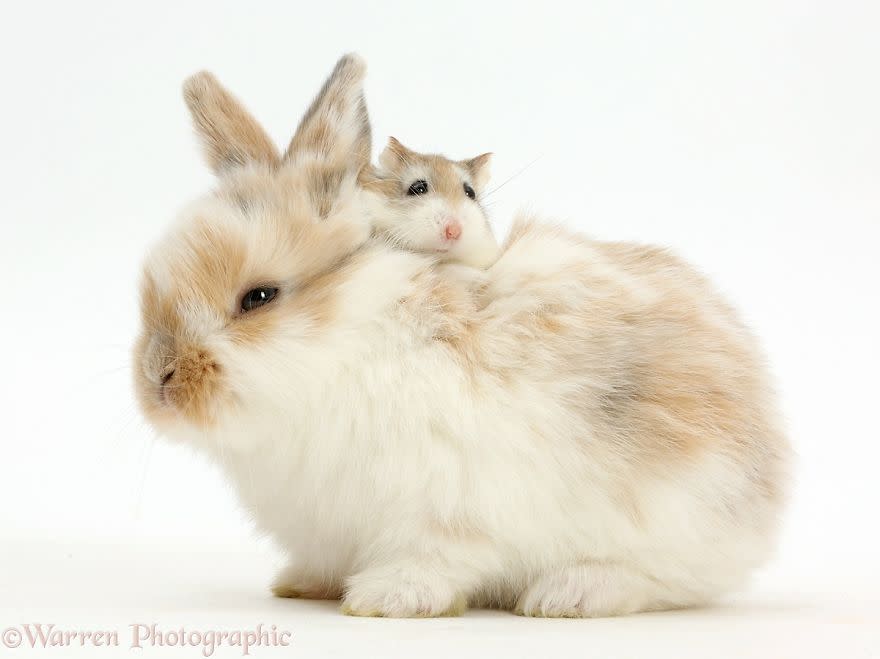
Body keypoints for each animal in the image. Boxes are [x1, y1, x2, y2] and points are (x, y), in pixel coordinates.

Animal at [136, 52, 792, 620]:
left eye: (259, 297)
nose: (158, 381)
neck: (351, 333)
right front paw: (303, 583)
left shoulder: (450, 503)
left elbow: (438, 554)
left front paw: (385, 598)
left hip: (678, 506)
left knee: (667, 579)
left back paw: (567, 594)